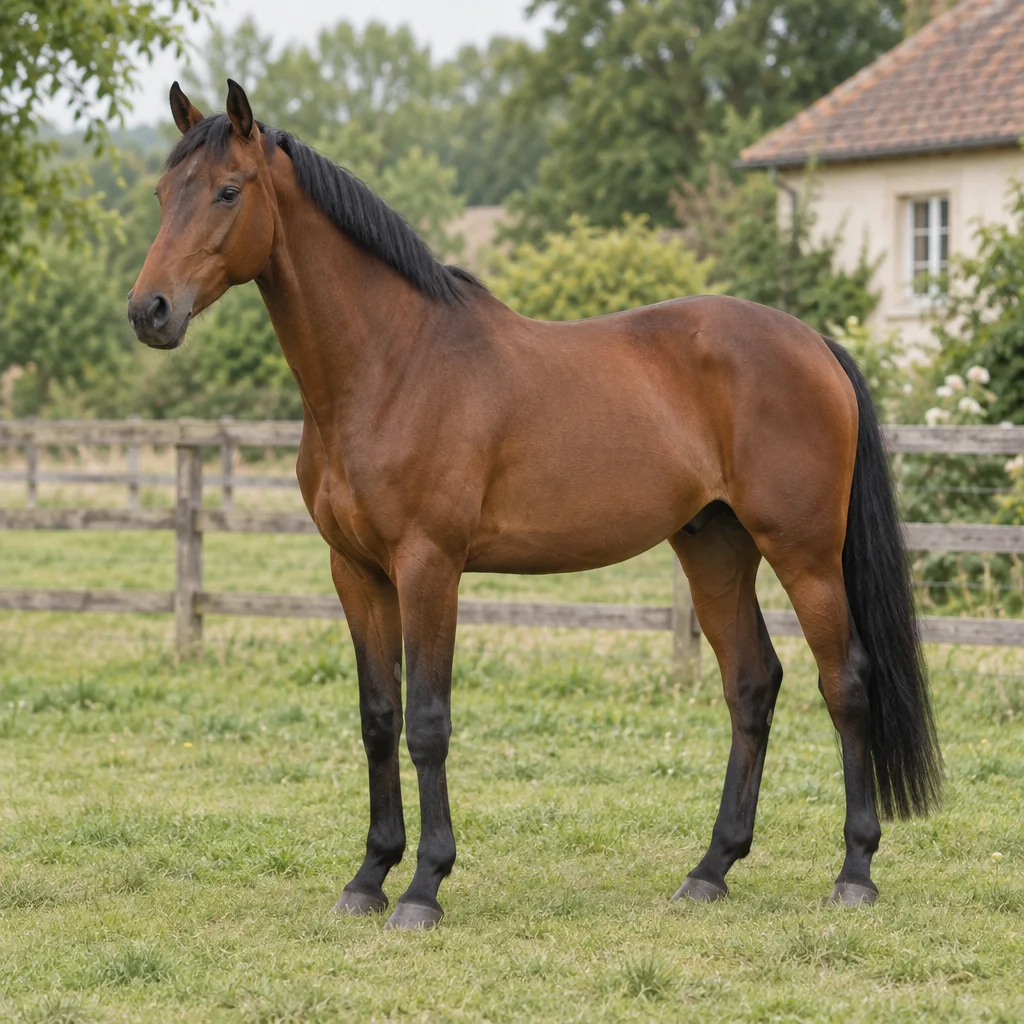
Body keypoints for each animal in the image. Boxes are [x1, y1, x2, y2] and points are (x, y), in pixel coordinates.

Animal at [128, 79, 941, 930]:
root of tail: (815, 346)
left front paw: (423, 886)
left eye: (228, 190)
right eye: (162, 193)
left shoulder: (429, 566)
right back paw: (711, 868)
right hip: (715, 548)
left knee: (846, 684)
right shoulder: (354, 570)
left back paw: (854, 872)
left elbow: (427, 721)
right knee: (752, 686)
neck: (390, 365)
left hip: (804, 553)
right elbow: (378, 718)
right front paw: (368, 875)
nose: (149, 310)